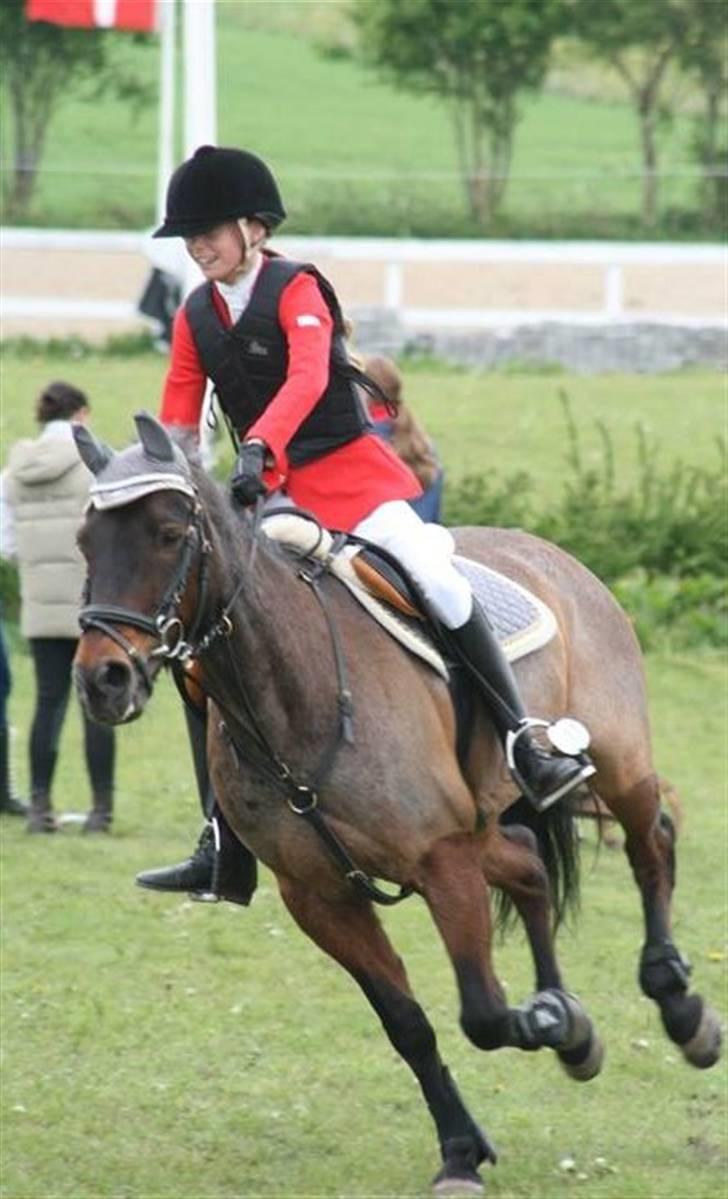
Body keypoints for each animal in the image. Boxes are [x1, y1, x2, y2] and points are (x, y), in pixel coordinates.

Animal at [71, 417, 719, 1194]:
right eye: (84, 540)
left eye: (169, 534)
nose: (103, 680)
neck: (297, 689)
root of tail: (549, 554)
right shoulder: (319, 897)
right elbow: (409, 1024)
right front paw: (467, 1142)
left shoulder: (442, 861)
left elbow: (483, 1013)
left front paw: (553, 1026)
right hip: (488, 824)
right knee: (530, 864)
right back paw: (570, 1018)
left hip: (617, 763)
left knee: (652, 844)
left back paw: (680, 1008)